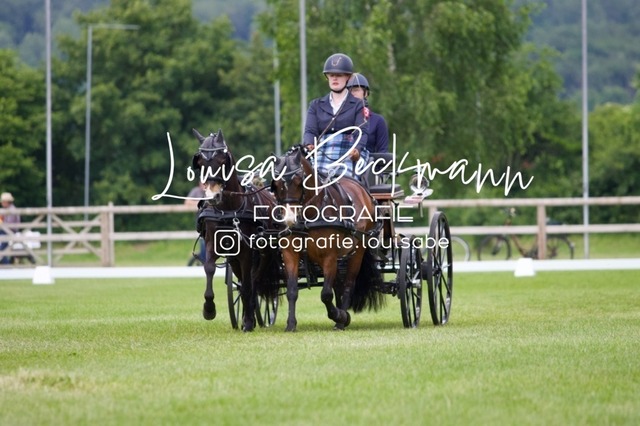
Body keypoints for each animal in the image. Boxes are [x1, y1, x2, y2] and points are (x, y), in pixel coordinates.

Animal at [191, 128, 280, 332]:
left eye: (222, 161)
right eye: (200, 163)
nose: (213, 196)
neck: (228, 208)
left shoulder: (247, 251)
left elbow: (248, 284)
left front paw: (247, 322)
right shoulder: (214, 243)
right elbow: (209, 268)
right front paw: (209, 309)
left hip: (263, 254)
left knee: (254, 280)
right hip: (234, 258)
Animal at [271, 145, 385, 331]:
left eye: (299, 181)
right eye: (277, 184)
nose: (289, 219)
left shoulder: (329, 256)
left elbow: (325, 294)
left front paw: (339, 315)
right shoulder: (289, 253)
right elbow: (292, 291)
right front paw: (291, 324)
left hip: (357, 250)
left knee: (348, 284)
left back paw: (341, 319)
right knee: (338, 284)